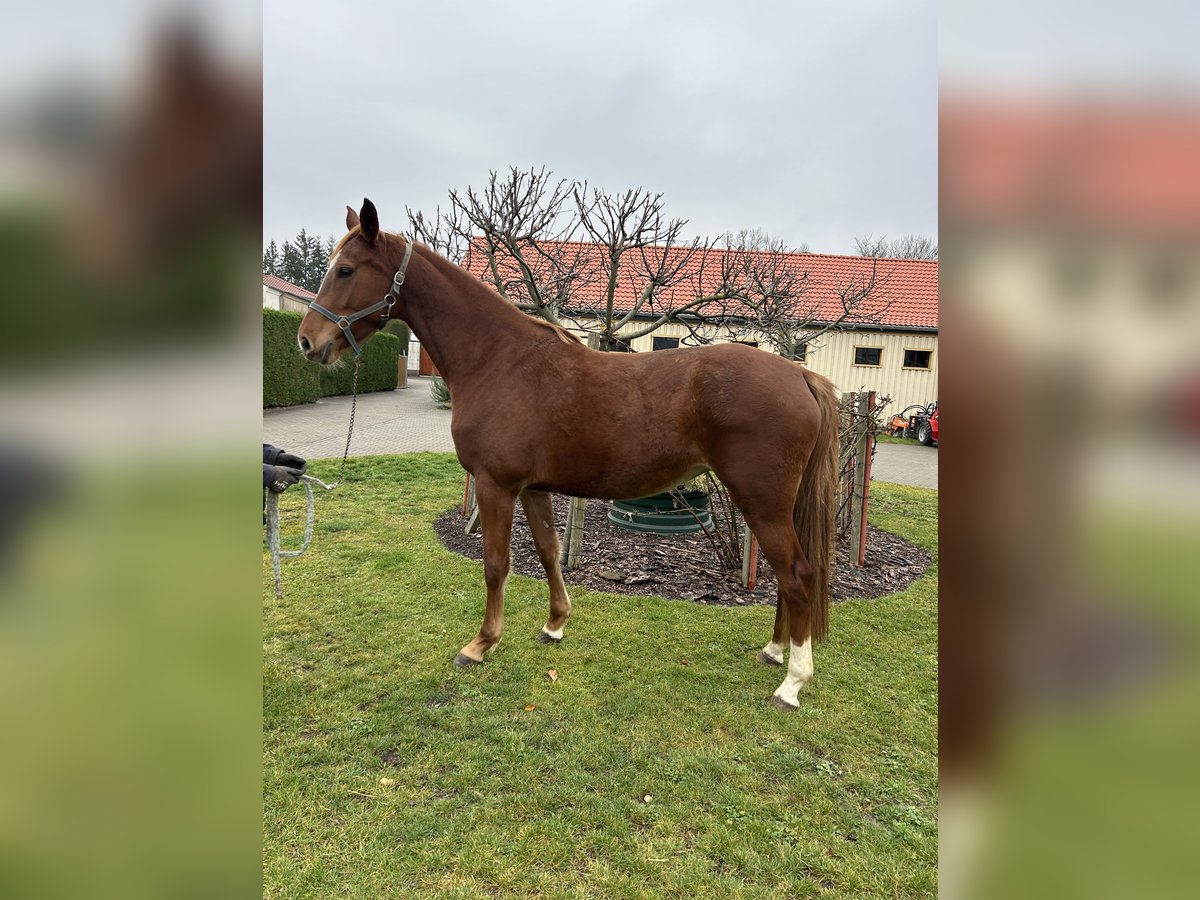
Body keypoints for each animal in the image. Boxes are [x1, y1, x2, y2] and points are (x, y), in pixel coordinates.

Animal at [297, 199, 840, 710]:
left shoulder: (496, 486)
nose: (306, 342)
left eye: (346, 270)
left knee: (796, 575)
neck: (499, 360)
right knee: (785, 575)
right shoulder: (532, 488)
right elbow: (547, 552)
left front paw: (481, 644)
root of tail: (799, 374)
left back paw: (792, 682)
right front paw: (555, 624)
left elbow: (496, 563)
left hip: (761, 500)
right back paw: (773, 651)